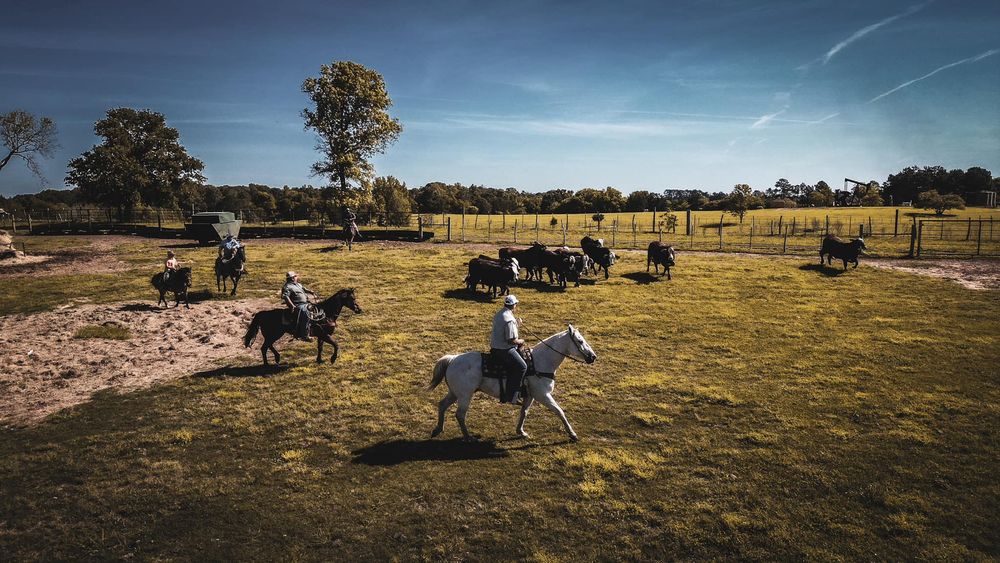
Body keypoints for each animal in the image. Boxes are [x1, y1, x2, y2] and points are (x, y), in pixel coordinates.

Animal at [428, 325, 597, 442]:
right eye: (580, 341)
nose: (593, 357)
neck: (539, 362)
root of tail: (452, 359)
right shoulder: (543, 395)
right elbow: (559, 411)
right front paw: (572, 434)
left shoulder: (530, 395)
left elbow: (524, 412)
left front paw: (520, 432)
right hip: (465, 395)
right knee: (460, 414)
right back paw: (468, 437)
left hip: (455, 393)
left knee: (442, 405)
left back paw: (438, 429)